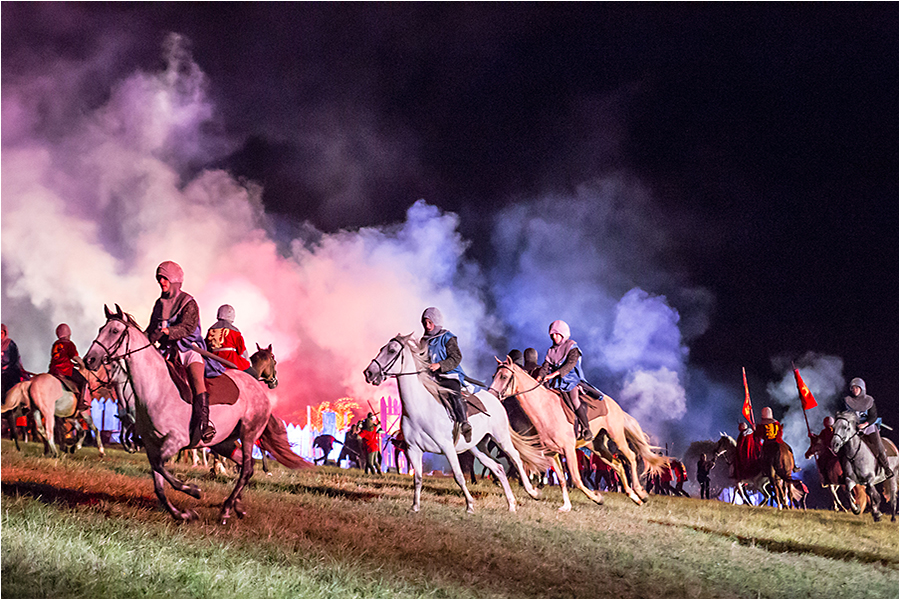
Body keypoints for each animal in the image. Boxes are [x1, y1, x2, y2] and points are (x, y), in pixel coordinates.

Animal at [84, 308, 310, 524]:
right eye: (102, 329)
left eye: (114, 331)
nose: (89, 360)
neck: (156, 387)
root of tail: (257, 388)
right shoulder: (153, 445)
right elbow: (159, 483)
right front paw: (182, 513)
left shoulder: (174, 441)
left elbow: (162, 468)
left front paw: (192, 491)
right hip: (226, 441)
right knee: (246, 466)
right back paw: (233, 506)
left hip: (247, 434)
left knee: (246, 468)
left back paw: (228, 506)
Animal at [360, 336, 544, 512]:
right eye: (382, 349)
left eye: (392, 350)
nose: (369, 372)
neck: (421, 409)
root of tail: (495, 398)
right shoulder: (413, 449)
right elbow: (418, 479)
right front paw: (415, 507)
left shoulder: (447, 448)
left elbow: (459, 476)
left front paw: (470, 505)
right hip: (478, 447)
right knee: (498, 468)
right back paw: (511, 504)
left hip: (501, 438)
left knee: (516, 457)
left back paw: (531, 491)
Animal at [486, 356, 668, 510]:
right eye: (494, 375)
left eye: (503, 377)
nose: (491, 396)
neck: (546, 409)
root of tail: (614, 404)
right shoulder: (552, 453)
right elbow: (561, 479)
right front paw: (566, 506)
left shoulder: (568, 450)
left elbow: (575, 479)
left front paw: (597, 498)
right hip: (597, 446)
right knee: (618, 465)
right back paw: (634, 497)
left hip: (617, 437)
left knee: (630, 456)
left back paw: (641, 493)